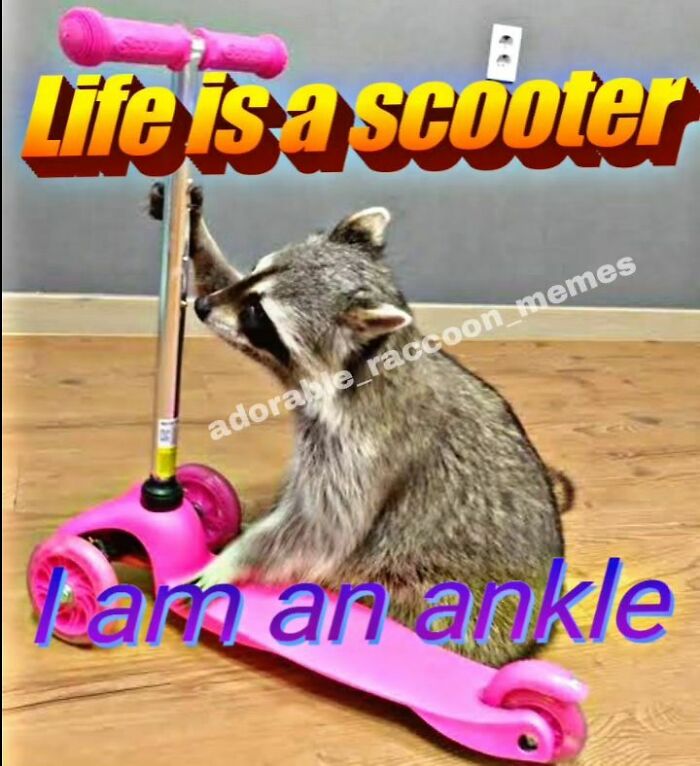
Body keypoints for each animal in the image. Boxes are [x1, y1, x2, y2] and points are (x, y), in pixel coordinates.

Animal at [149, 183, 570, 666]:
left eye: (258, 313)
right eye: (253, 274)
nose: (200, 306)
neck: (367, 358)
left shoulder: (361, 451)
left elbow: (323, 530)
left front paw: (230, 560)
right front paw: (196, 229)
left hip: (438, 599)